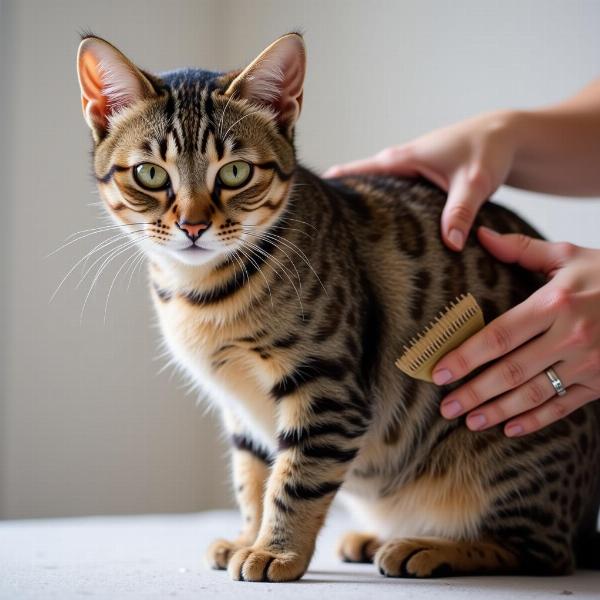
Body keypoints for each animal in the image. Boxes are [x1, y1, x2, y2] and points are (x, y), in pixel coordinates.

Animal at [76, 32, 600, 580]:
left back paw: (428, 547)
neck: (201, 295)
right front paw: (246, 538)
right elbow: (252, 481)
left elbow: (295, 481)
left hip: (505, 458)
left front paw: (274, 551)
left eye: (236, 172)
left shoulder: (326, 386)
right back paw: (374, 538)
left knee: (541, 552)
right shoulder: (241, 413)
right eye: (150, 174)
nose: (193, 226)